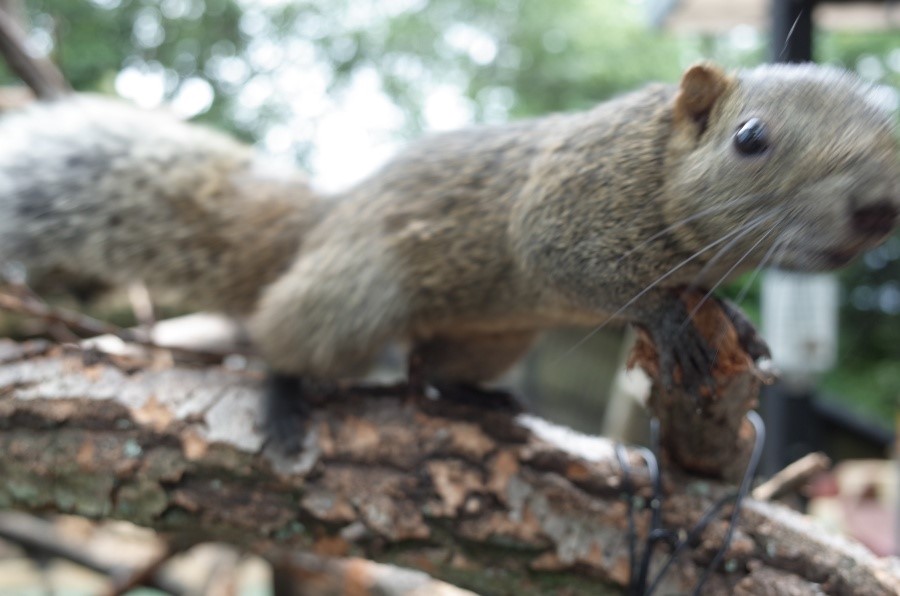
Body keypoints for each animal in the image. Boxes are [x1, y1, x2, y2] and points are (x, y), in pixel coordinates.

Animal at [0, 64, 896, 448]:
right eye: (751, 138)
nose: (878, 208)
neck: (653, 161)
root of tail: (324, 224)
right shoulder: (560, 208)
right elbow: (590, 271)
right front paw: (672, 319)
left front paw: (739, 326)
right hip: (354, 294)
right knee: (283, 337)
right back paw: (285, 396)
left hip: (495, 334)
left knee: (429, 367)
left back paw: (478, 400)